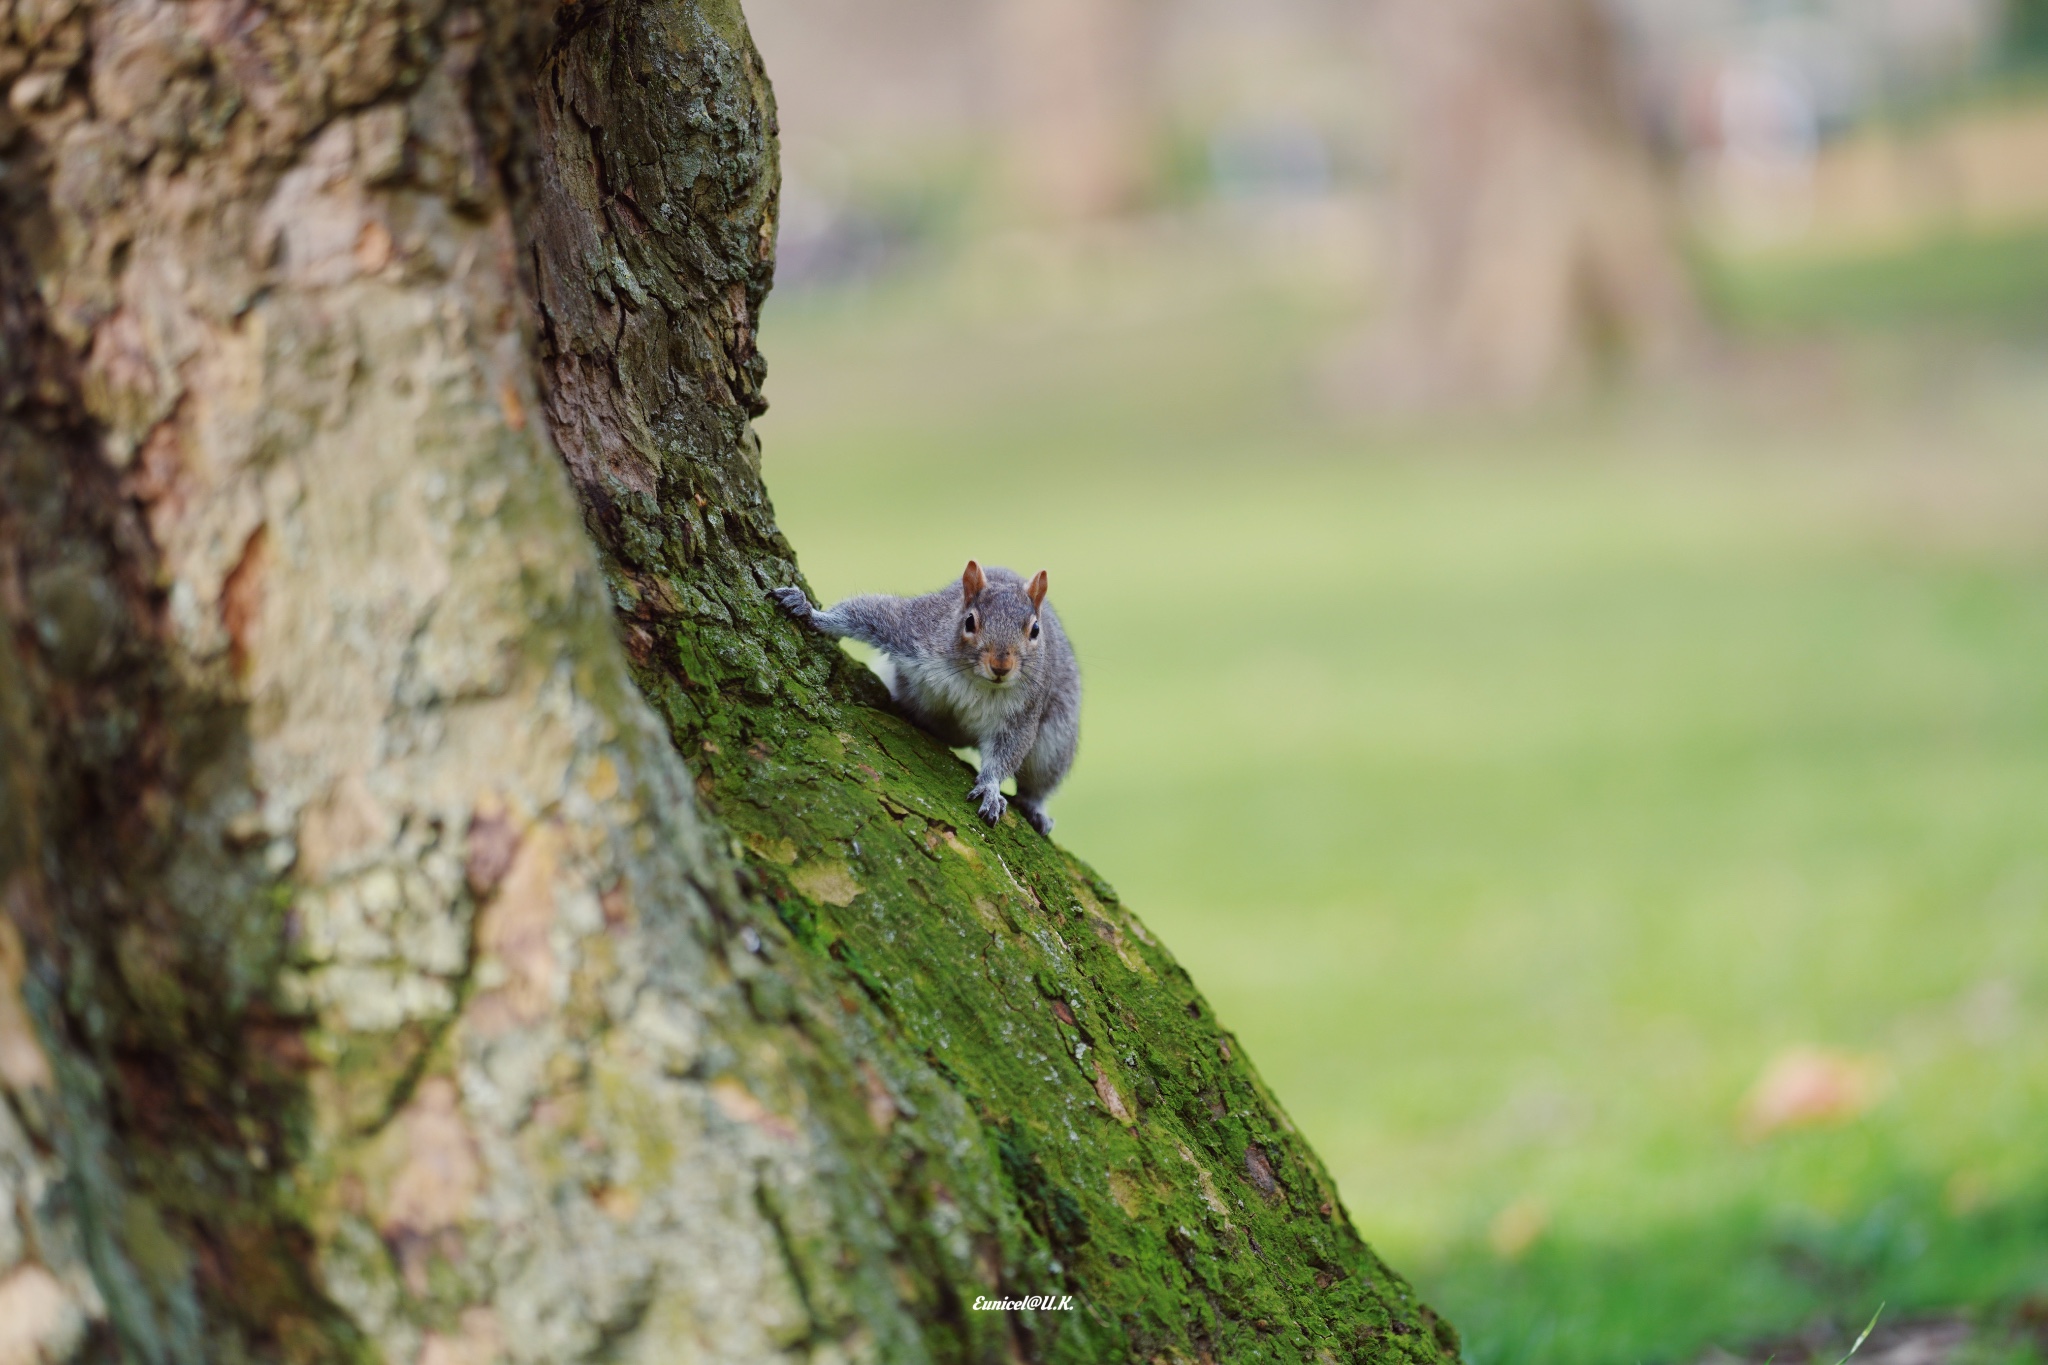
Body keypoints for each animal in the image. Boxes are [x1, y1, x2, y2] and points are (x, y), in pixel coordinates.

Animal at [770, 556, 1089, 834]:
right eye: (970, 622)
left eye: (1035, 630)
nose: (1001, 666)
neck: (974, 679)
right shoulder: (915, 629)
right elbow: (869, 613)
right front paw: (809, 611)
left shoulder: (1023, 712)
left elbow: (1007, 753)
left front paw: (990, 788)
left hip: (1055, 742)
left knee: (1037, 783)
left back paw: (1036, 809)